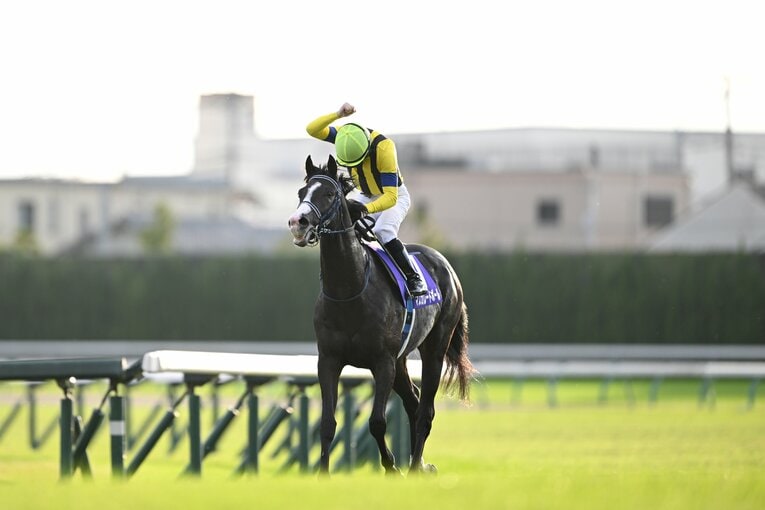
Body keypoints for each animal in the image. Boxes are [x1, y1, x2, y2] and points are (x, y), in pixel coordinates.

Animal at [287, 155, 474, 474]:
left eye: (329, 194)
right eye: (302, 193)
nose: (298, 223)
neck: (349, 291)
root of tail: (446, 266)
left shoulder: (382, 362)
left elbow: (376, 422)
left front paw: (391, 467)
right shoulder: (329, 361)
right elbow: (327, 422)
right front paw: (322, 474)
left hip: (434, 349)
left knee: (425, 410)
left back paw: (415, 466)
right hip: (400, 361)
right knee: (413, 403)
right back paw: (417, 462)